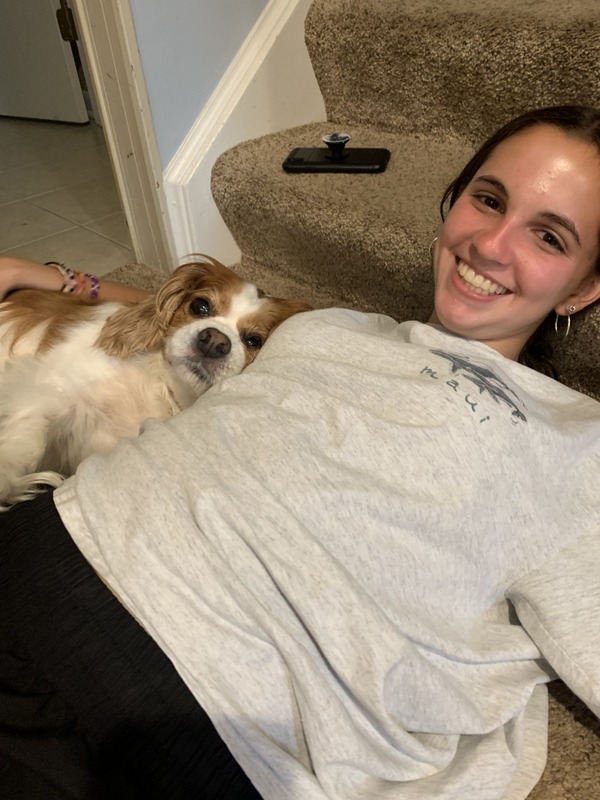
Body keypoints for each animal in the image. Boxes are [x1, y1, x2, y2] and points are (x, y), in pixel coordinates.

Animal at [0, 257, 311, 508]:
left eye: (254, 340)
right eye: (200, 306)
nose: (214, 340)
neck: (161, 382)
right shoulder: (47, 387)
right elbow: (31, 438)